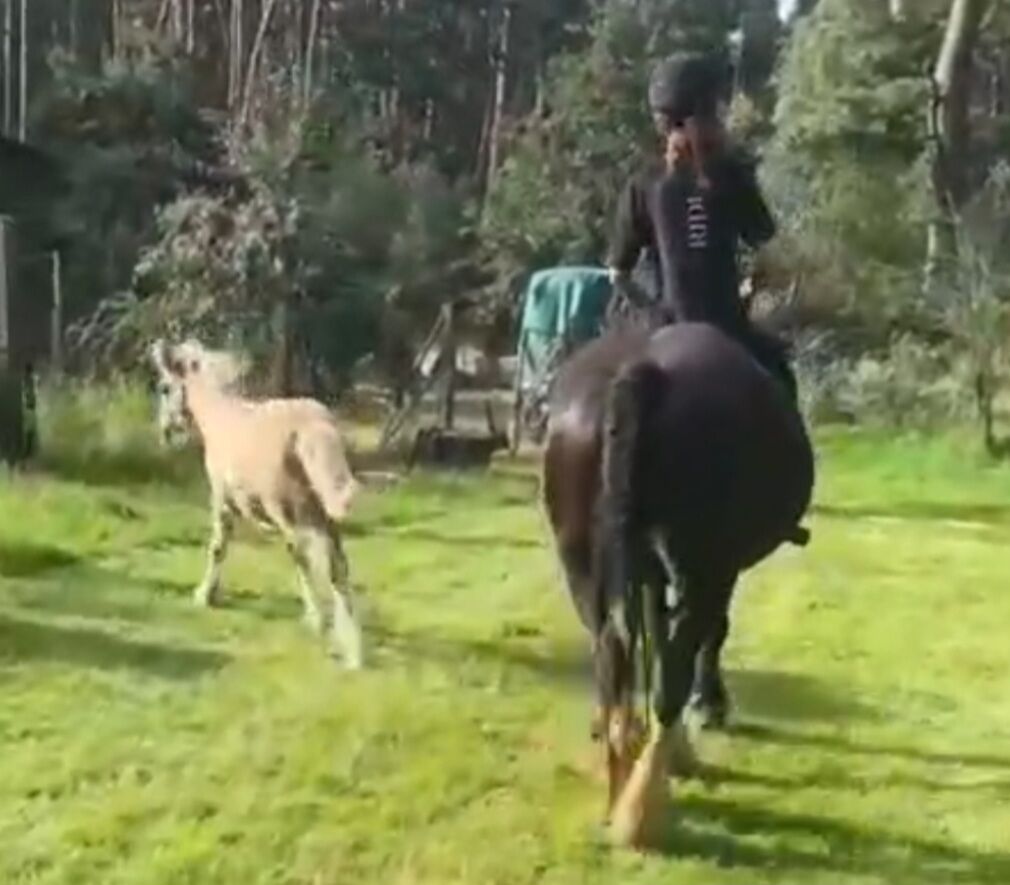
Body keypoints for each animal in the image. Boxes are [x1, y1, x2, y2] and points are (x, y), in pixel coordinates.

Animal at [150, 339, 364, 669]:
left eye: (164, 388)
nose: (165, 432)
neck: (219, 418)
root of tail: (314, 427)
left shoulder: (221, 500)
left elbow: (218, 546)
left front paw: (204, 596)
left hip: (293, 512)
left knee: (313, 560)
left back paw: (326, 629)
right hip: (322, 514)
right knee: (337, 565)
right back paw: (350, 645)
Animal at [542, 322, 813, 848]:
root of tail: (642, 371)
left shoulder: (647, 570)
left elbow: (650, 628)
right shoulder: (718, 572)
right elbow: (708, 637)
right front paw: (707, 709)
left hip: (581, 564)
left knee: (611, 651)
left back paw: (620, 772)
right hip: (701, 568)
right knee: (671, 671)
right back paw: (641, 809)